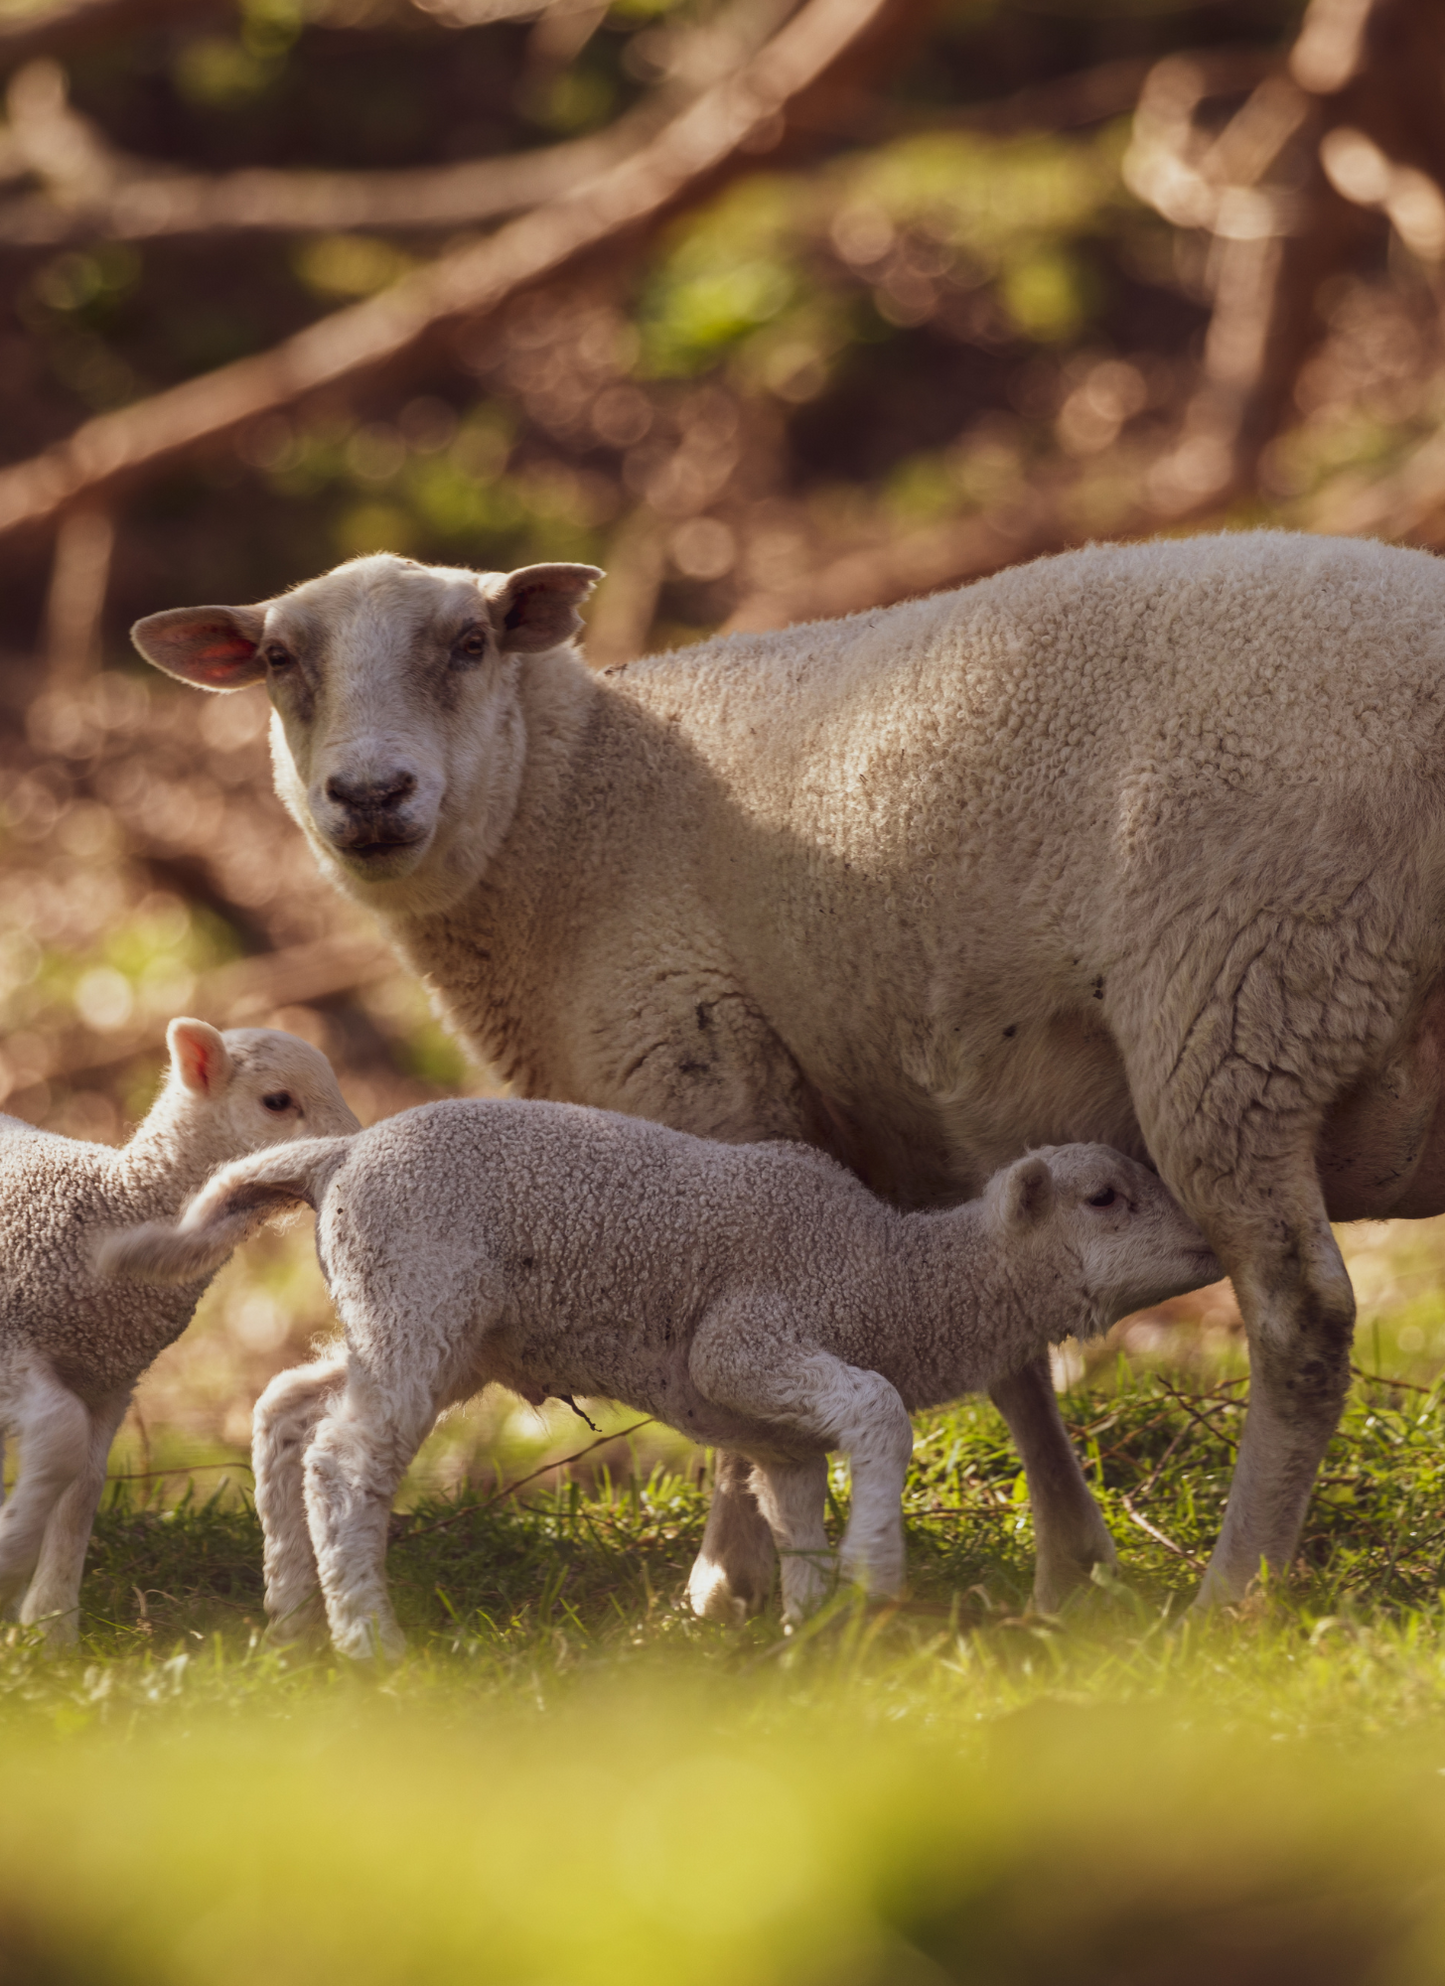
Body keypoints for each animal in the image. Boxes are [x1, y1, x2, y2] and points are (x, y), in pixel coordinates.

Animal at [0, 1018, 357, 1645]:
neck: (117, 1203)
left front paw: (52, 1629)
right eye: (277, 1101)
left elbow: (82, 1487)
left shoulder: (107, 1378)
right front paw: (10, 1561)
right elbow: (61, 1438)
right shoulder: (15, 1344)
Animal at [104, 1099, 1220, 1657]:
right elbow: (878, 1411)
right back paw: (368, 1642)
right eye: (1105, 1197)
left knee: (284, 1410)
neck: (891, 1275)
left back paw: (292, 1614)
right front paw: (878, 1575)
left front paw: (808, 1636)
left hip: (421, 1322)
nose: (1209, 1246)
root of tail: (337, 1156)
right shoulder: (744, 1339)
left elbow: (796, 1516)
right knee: (342, 1462)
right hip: (416, 1293)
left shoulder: (777, 1431)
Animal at [130, 530, 1445, 1609]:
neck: (571, 811)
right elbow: (1008, 1343)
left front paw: (732, 1576)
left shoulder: (701, 1072)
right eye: (280, 659)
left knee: (1299, 1319)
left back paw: (1233, 1590)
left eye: (469, 642)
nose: (369, 795)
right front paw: (1067, 1570)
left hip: (1238, 1012)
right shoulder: (910, 1130)